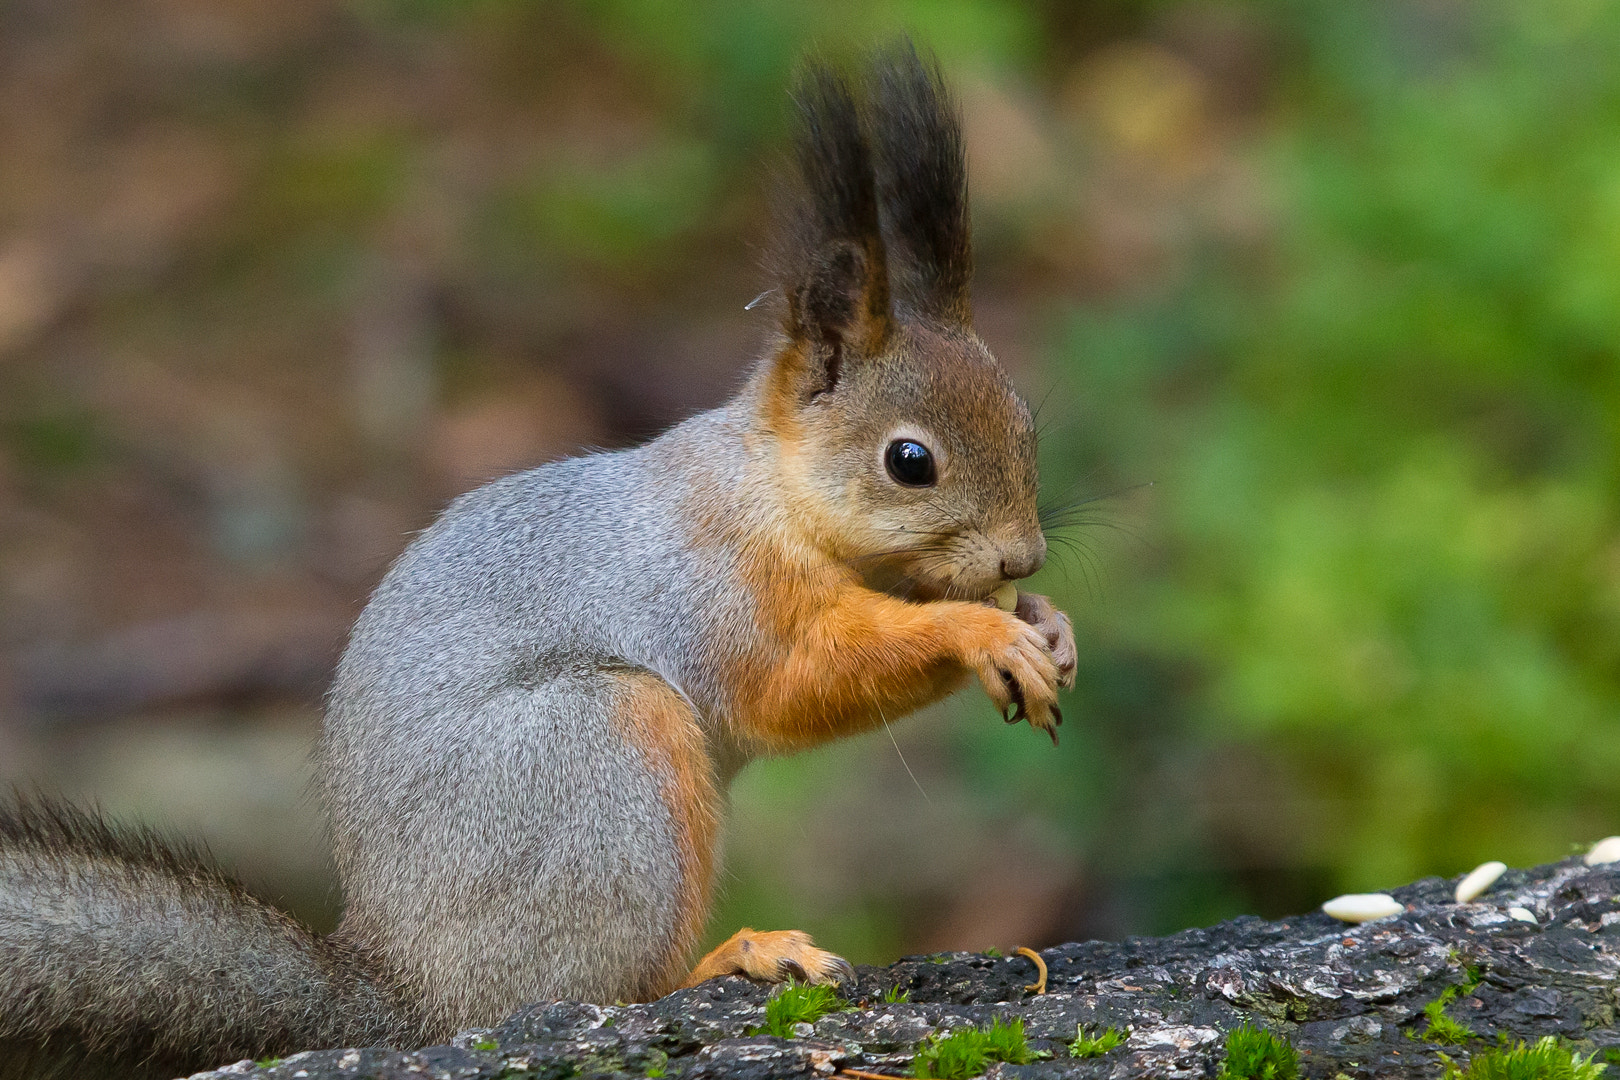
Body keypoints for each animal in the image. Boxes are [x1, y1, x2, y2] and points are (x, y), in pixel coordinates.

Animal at [0, 42, 1077, 1080]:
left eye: (1026, 420)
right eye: (910, 462)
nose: (1023, 553)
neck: (769, 492)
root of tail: (414, 990)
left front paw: (1047, 625)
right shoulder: (711, 585)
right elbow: (793, 683)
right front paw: (979, 632)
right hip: (592, 753)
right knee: (602, 987)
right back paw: (735, 957)